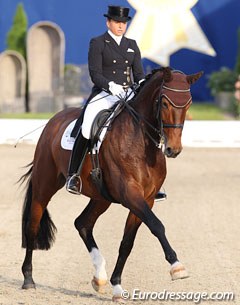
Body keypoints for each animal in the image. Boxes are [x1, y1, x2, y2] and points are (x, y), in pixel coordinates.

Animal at [19, 66, 202, 300]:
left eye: (188, 103)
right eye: (164, 103)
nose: (173, 149)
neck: (140, 141)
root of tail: (54, 120)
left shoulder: (146, 199)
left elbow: (127, 243)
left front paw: (117, 286)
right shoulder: (130, 194)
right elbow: (157, 225)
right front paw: (177, 266)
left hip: (101, 197)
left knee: (82, 223)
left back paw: (99, 277)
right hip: (45, 186)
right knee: (33, 226)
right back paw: (28, 279)